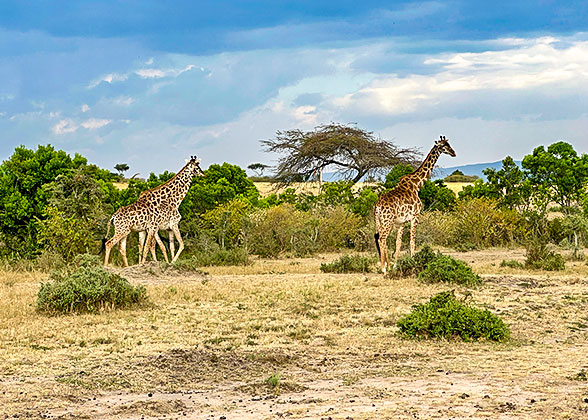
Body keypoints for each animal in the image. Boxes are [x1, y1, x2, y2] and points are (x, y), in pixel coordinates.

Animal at [374, 135, 458, 274]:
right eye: (443, 146)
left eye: (449, 144)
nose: (454, 153)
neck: (417, 184)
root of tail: (378, 206)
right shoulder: (415, 216)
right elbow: (412, 241)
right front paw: (413, 263)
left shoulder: (401, 222)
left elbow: (398, 243)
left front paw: (395, 265)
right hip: (387, 221)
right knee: (382, 238)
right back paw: (384, 268)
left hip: (380, 221)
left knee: (379, 237)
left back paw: (386, 266)